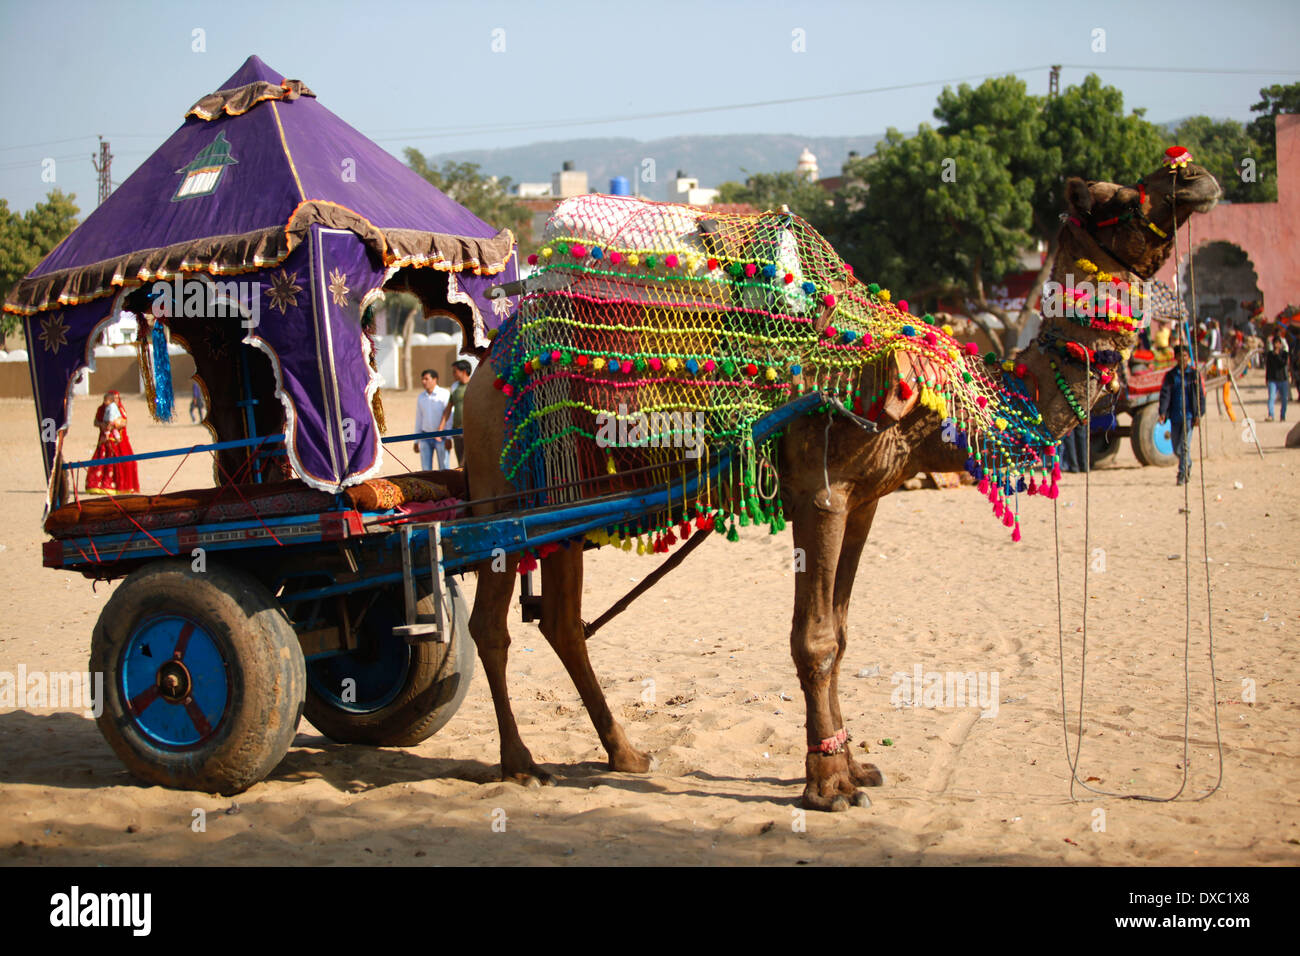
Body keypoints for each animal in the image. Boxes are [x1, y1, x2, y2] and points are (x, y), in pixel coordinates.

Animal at [457, 147, 1216, 806]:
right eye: (1117, 201)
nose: (1196, 176)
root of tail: (483, 368)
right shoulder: (818, 491)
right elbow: (813, 638)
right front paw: (827, 785)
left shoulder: (867, 498)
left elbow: (842, 635)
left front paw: (855, 765)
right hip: (500, 494)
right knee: (489, 624)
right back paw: (520, 763)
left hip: (563, 503)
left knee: (562, 621)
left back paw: (625, 753)